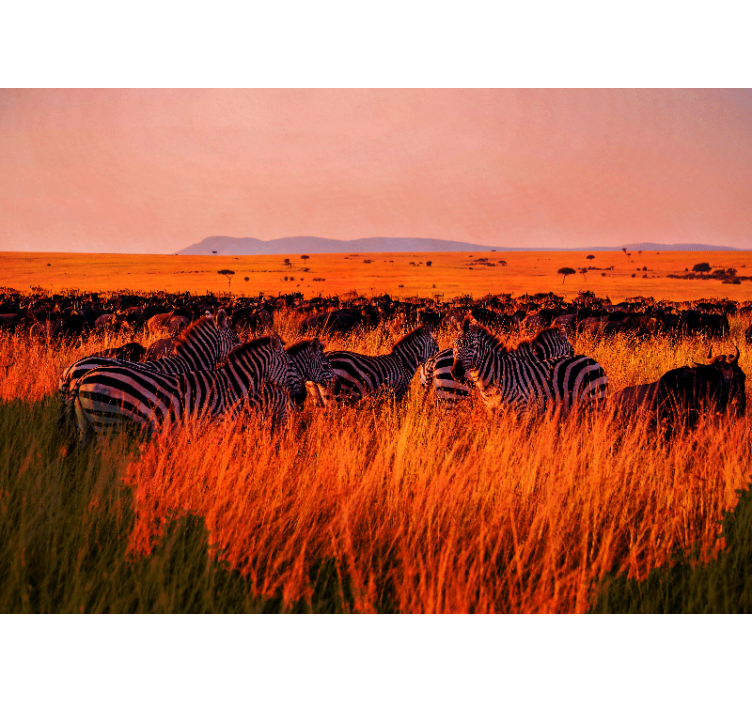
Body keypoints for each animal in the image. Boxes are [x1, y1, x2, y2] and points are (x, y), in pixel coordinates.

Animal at [74, 334, 302, 446]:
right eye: (291, 363)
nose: (301, 397)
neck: (233, 386)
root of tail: (84, 378)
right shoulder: (218, 426)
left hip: (88, 427)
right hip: (108, 422)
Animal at [309, 323, 439, 406]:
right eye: (435, 345)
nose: (439, 351)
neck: (404, 363)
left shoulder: (384, 398)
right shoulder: (397, 394)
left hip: (319, 398)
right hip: (336, 395)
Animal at [450, 316, 608, 420]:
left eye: (472, 346)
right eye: (454, 346)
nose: (455, 372)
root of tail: (592, 360)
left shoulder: (523, 411)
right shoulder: (494, 413)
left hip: (594, 403)